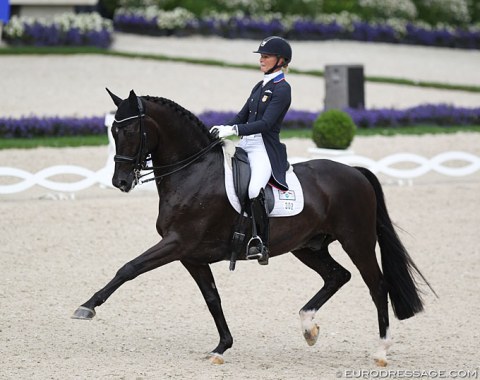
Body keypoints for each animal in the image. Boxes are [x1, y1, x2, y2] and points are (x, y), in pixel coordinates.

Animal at [72, 89, 436, 366]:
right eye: (113, 132)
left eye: (131, 131)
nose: (120, 182)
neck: (192, 173)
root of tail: (355, 172)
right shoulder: (191, 255)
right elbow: (212, 298)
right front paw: (221, 347)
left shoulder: (177, 243)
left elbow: (128, 268)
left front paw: (87, 307)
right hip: (308, 246)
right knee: (337, 276)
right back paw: (308, 327)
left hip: (356, 241)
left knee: (377, 285)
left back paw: (381, 350)